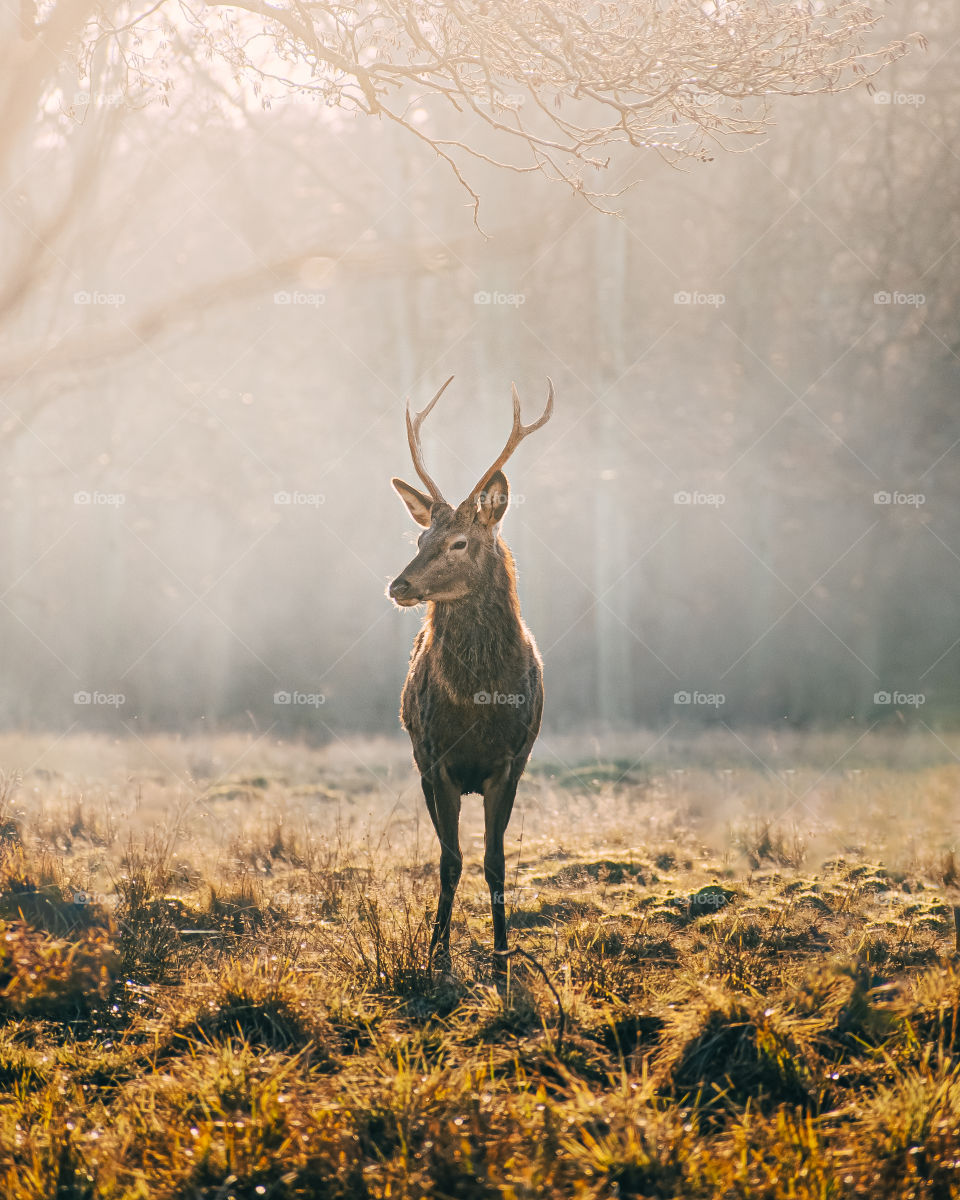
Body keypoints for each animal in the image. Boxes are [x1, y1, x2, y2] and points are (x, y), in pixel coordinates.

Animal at [388, 376, 554, 975]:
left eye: (459, 542)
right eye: (418, 540)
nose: (399, 585)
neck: (478, 703)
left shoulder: (511, 762)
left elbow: (495, 860)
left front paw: (504, 950)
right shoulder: (437, 761)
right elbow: (450, 860)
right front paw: (436, 954)